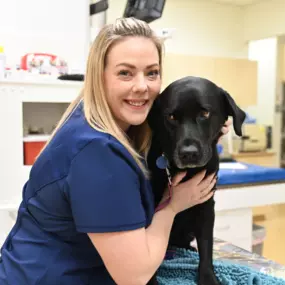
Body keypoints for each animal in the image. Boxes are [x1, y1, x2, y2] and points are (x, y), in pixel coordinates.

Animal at [145, 76, 245, 284]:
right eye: (171, 117)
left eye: (205, 113)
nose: (188, 154)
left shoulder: (206, 206)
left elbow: (206, 247)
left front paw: (208, 277)